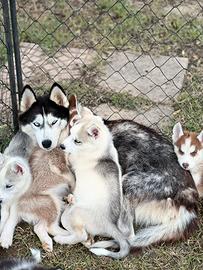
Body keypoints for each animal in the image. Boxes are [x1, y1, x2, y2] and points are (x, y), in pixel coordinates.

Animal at [54, 107, 129, 260]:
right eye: (71, 133)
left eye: (77, 141)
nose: (62, 146)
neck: (102, 149)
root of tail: (110, 224)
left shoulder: (73, 160)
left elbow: (68, 157)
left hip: (70, 215)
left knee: (81, 235)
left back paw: (61, 239)